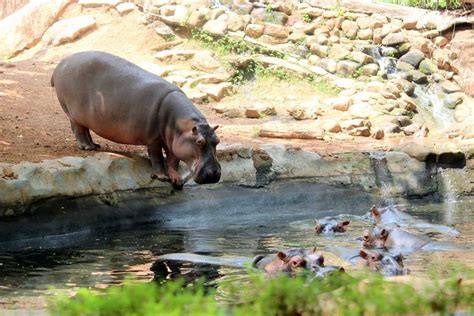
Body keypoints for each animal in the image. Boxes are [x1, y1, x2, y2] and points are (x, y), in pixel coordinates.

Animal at [51, 51, 221, 189]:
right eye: (199, 142)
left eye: (217, 141)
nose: (214, 173)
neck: (182, 125)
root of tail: (61, 63)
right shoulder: (154, 140)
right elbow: (157, 158)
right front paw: (162, 177)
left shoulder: (174, 142)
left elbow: (173, 161)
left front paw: (177, 179)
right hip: (73, 114)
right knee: (78, 130)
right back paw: (87, 147)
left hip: (83, 116)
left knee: (85, 129)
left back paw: (95, 145)